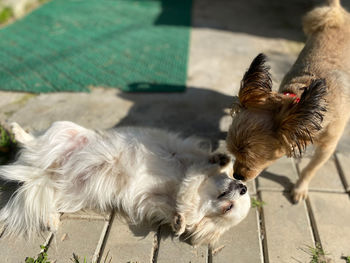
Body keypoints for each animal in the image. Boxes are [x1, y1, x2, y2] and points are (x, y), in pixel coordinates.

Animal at [0, 122, 252, 246]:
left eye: (227, 209)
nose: (243, 187)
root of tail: (46, 168)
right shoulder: (182, 154)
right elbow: (199, 171)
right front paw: (220, 160)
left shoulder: (161, 202)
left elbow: (184, 207)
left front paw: (181, 222)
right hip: (63, 128)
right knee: (33, 141)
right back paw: (17, 131)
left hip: (70, 193)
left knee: (48, 199)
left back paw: (51, 220)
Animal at [227, 0, 350, 203]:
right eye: (234, 155)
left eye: (252, 159)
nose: (237, 175)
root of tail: (337, 14)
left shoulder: (327, 148)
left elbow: (310, 169)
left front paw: (300, 188)